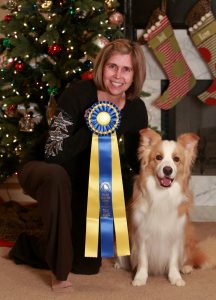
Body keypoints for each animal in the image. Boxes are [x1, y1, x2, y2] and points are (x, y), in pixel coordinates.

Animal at [116, 128, 216, 286]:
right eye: (158, 157)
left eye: (176, 159)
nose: (167, 170)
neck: (162, 194)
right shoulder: (142, 234)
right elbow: (143, 260)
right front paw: (140, 278)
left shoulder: (175, 233)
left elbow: (174, 261)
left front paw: (175, 278)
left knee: (189, 258)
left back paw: (186, 267)